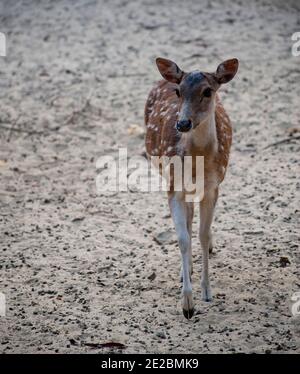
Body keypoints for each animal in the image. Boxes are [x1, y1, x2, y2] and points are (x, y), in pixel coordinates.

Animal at [145, 57, 239, 318]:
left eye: (208, 91)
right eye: (178, 91)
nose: (183, 123)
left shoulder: (213, 187)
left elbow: (202, 235)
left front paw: (206, 292)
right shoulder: (173, 185)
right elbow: (183, 238)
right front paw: (187, 303)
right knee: (187, 218)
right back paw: (184, 271)